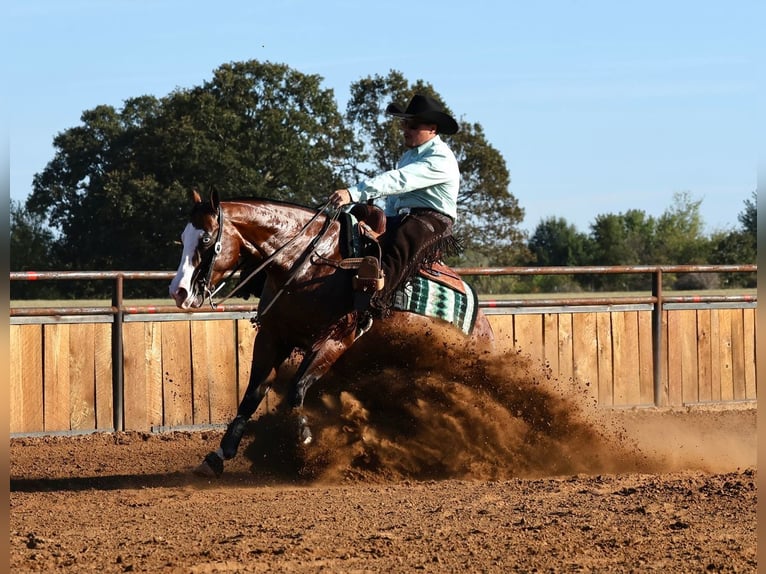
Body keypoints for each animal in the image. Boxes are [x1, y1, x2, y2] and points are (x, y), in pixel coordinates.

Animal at [169, 190, 494, 477]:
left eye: (206, 239)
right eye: (182, 238)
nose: (178, 291)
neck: (308, 264)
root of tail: (482, 324)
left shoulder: (333, 341)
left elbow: (298, 388)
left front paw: (302, 436)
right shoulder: (272, 337)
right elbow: (253, 394)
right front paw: (218, 456)